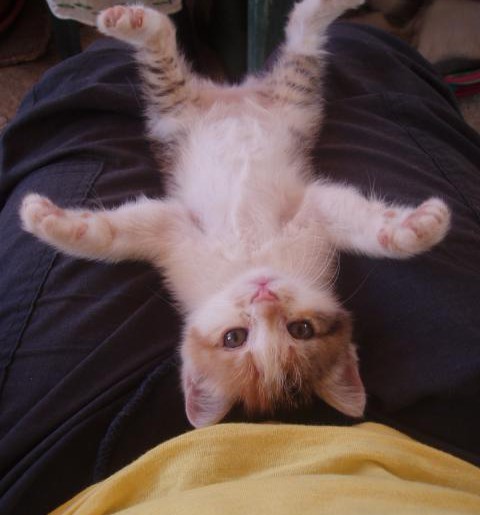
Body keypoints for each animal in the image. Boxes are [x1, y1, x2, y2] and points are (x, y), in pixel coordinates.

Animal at [20, 0, 450, 428]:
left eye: (300, 329)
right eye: (234, 338)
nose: (264, 294)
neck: (250, 257)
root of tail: (234, 94)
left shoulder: (309, 218)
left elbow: (355, 221)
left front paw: (414, 229)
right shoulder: (178, 237)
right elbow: (115, 236)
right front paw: (47, 221)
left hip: (290, 105)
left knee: (299, 44)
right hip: (180, 115)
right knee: (171, 44)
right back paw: (131, 21)